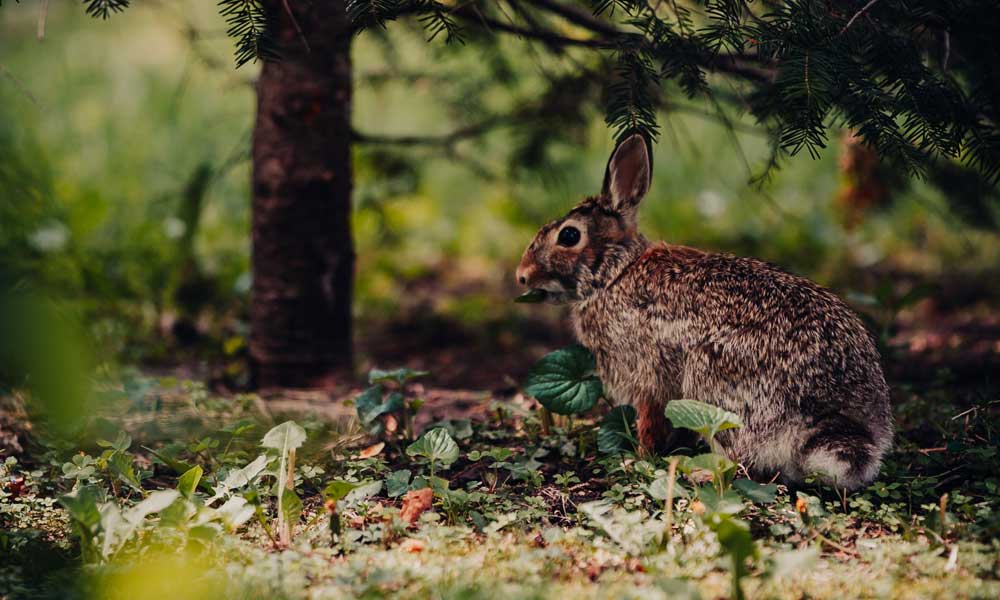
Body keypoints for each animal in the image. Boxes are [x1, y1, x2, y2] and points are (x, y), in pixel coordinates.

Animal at [515, 134, 893, 490]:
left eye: (568, 236)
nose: (522, 275)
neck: (614, 273)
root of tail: (830, 413)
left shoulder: (646, 377)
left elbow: (648, 421)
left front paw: (638, 458)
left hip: (713, 381)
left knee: (741, 458)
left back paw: (700, 474)